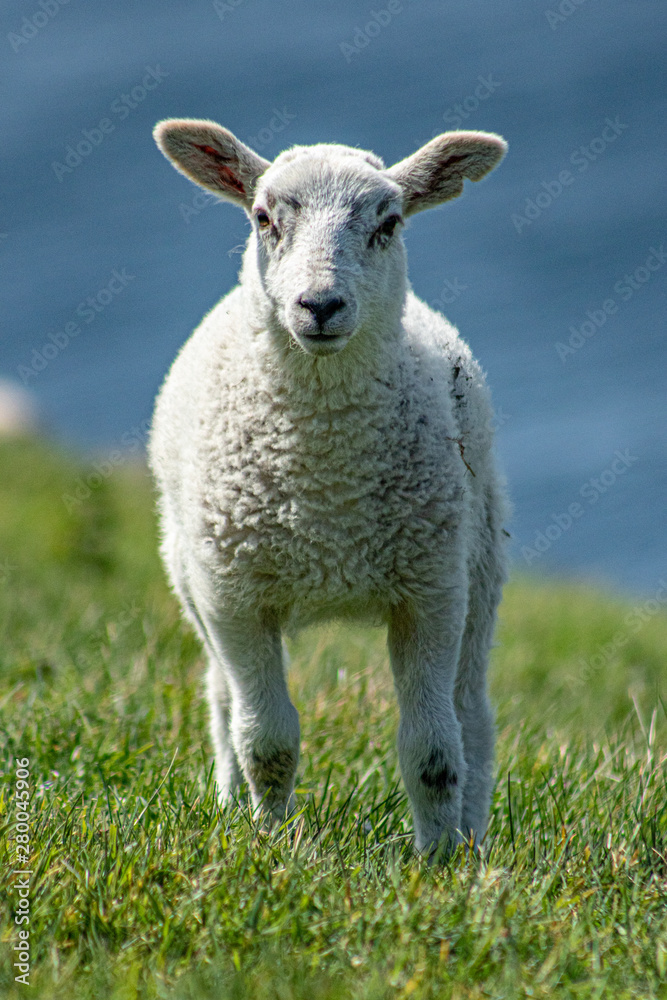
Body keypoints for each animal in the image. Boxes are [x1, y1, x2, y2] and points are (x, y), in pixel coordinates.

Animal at [149, 118, 509, 860]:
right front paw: (272, 845)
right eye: (262, 218)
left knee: (472, 717)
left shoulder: (430, 592)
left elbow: (433, 751)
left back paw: (472, 843)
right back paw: (232, 807)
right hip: (190, 575)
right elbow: (266, 742)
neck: (326, 489)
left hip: (480, 566)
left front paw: (437, 864)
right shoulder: (235, 597)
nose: (319, 305)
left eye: (388, 223)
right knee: (221, 701)